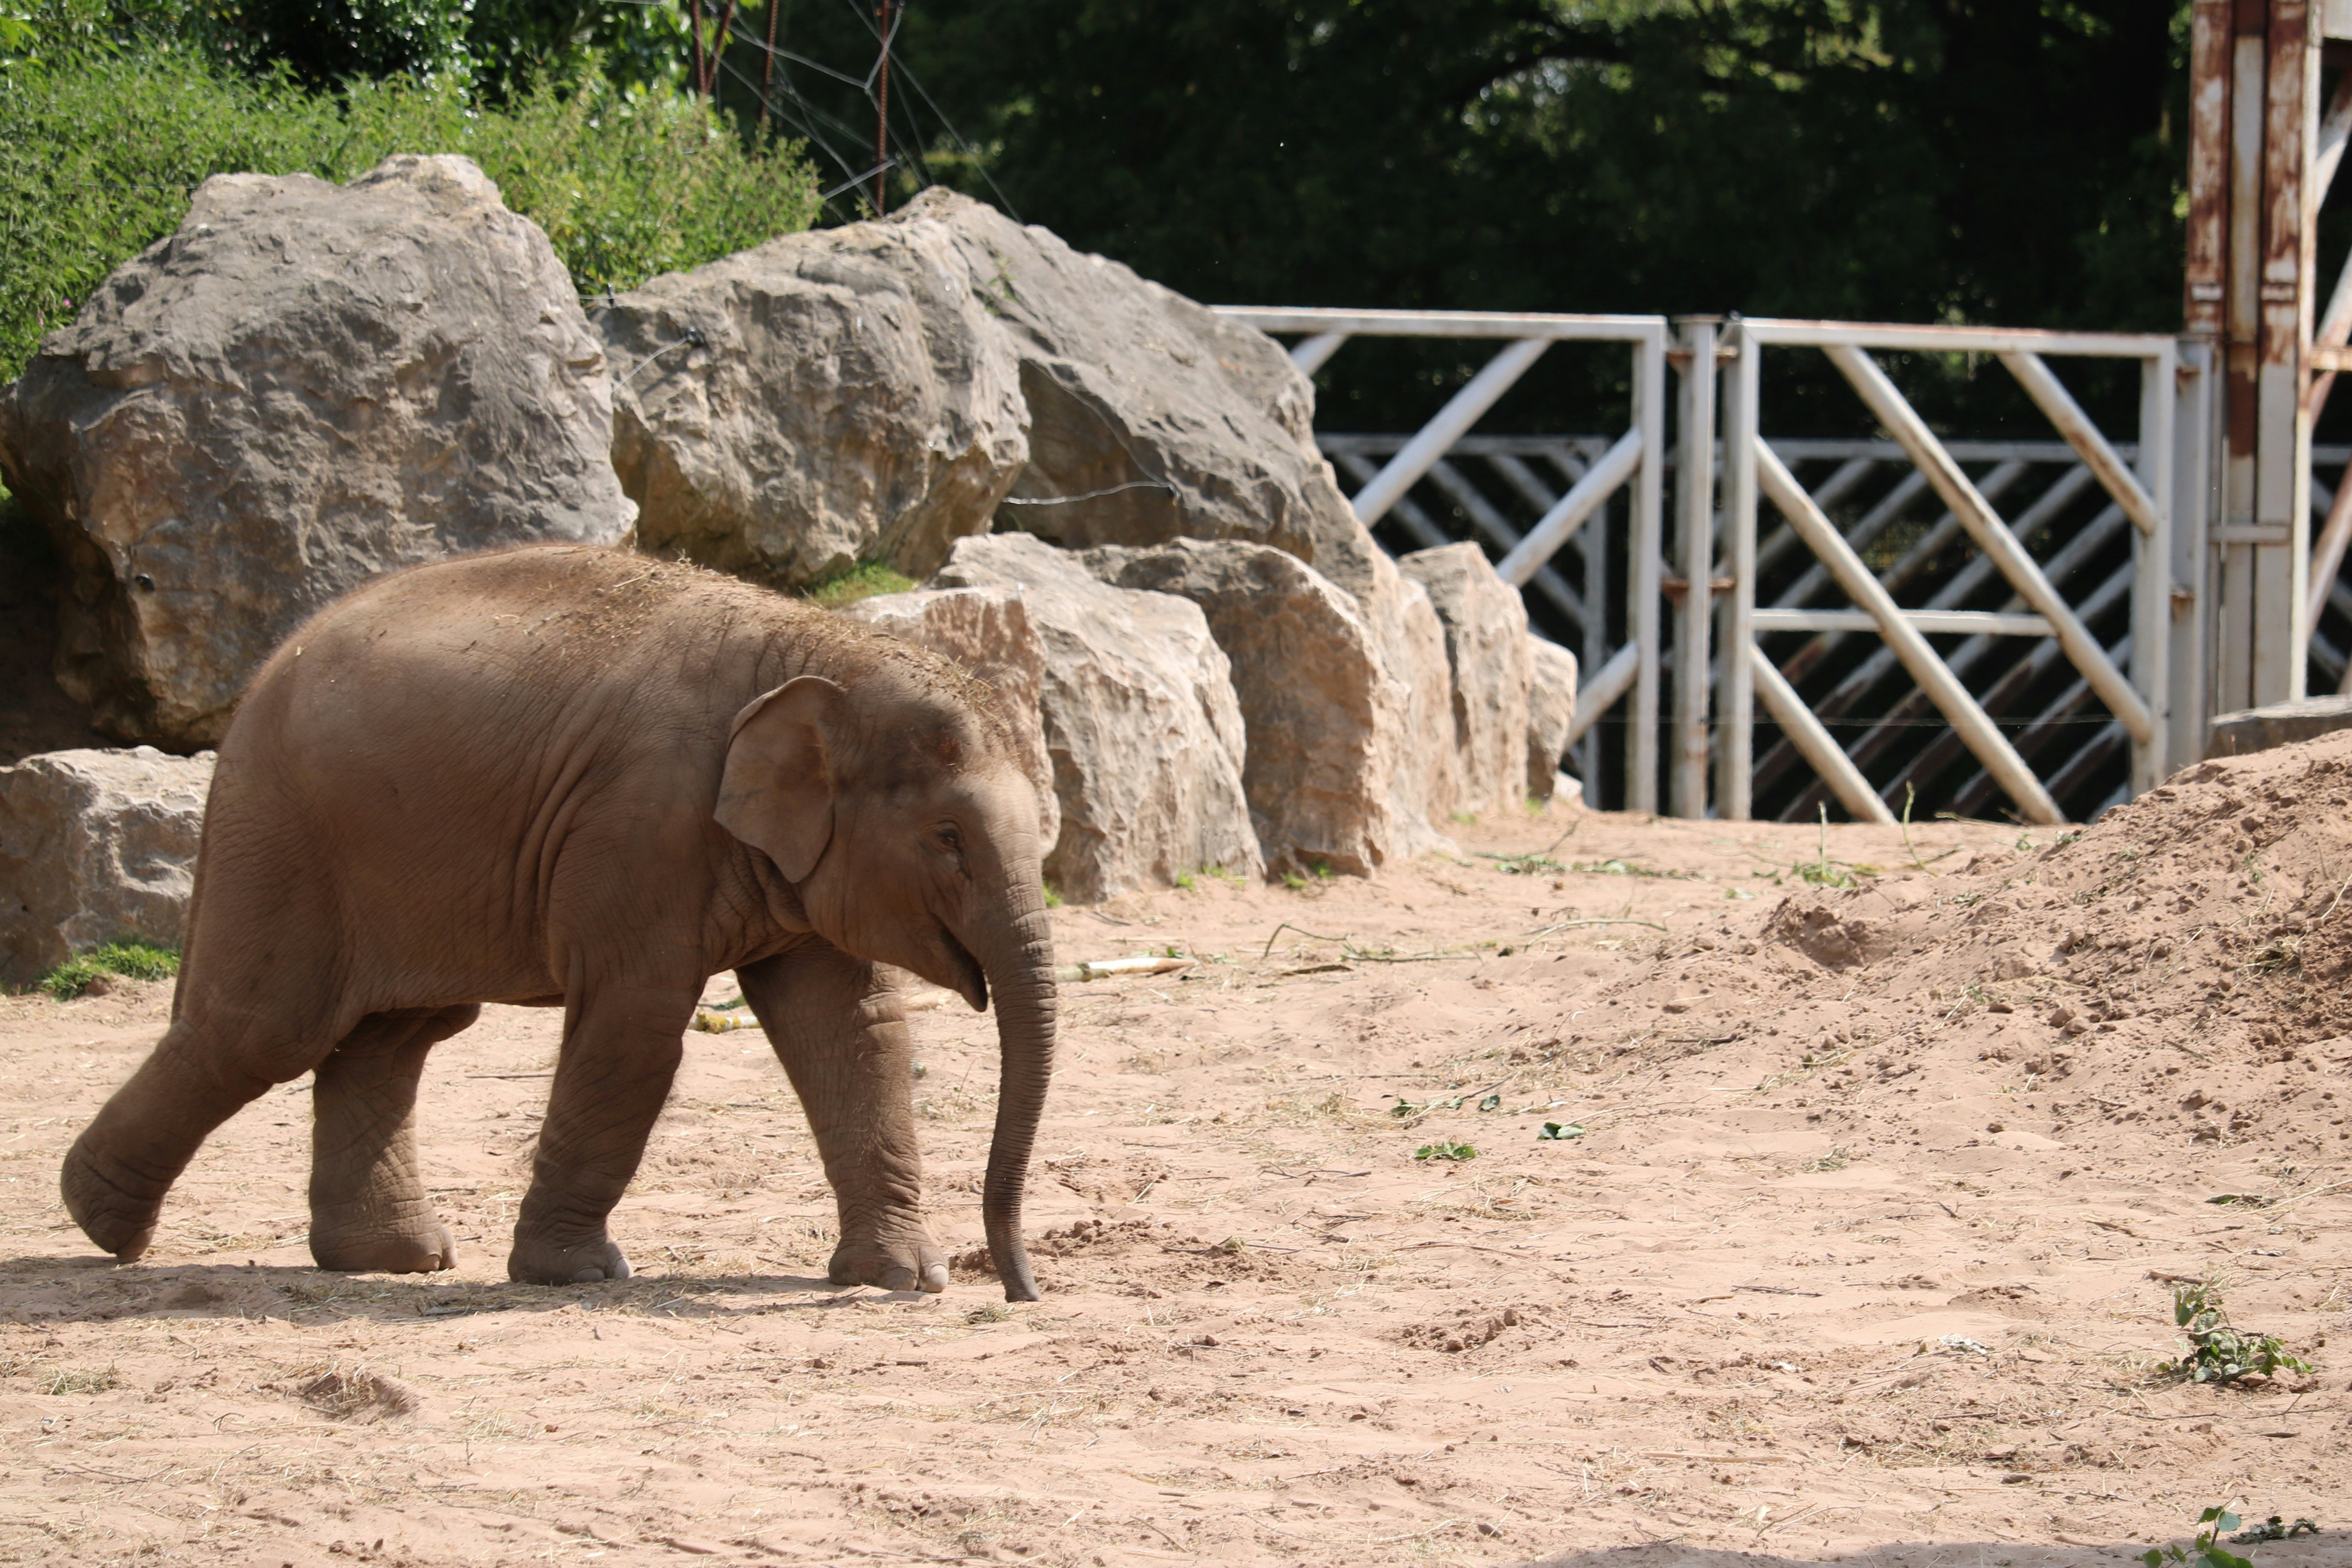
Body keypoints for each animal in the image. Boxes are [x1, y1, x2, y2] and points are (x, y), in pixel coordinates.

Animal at [59, 545, 1058, 1298]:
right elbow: (636, 1030)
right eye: (948, 839)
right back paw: (100, 1223)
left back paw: (395, 1260)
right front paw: (582, 1274)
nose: (1021, 1288)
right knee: (263, 1030)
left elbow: (851, 1029)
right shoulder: (640, 827)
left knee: (391, 1036)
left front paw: (902, 1278)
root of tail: (263, 674)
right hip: (282, 831)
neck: (818, 646)